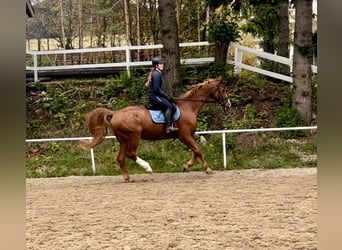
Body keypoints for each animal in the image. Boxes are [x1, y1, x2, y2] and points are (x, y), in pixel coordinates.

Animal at [81, 76, 230, 182]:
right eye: (223, 90)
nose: (228, 104)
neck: (188, 107)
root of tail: (114, 113)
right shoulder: (185, 136)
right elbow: (198, 150)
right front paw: (207, 169)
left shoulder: (189, 135)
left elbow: (196, 151)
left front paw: (186, 166)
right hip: (134, 136)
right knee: (131, 154)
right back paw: (148, 168)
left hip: (123, 139)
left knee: (120, 158)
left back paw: (128, 178)